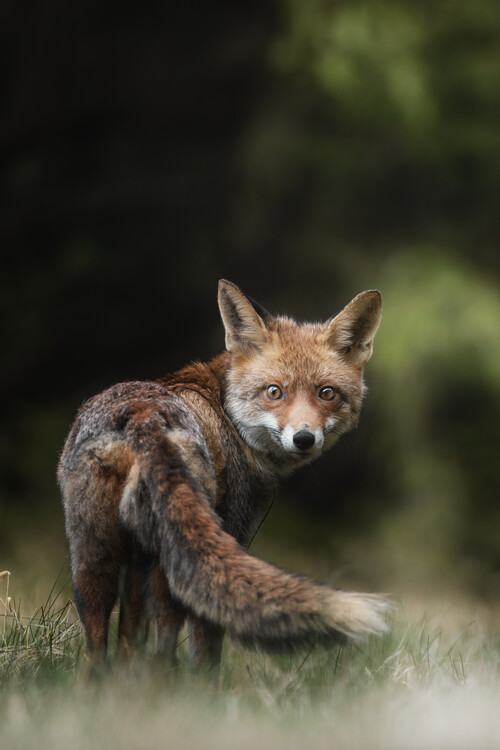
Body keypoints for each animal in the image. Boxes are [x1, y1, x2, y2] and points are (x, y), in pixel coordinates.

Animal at [57, 279, 387, 673]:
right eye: (274, 392)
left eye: (327, 394)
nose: (304, 438)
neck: (225, 408)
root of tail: (142, 415)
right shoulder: (232, 529)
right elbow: (206, 648)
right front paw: (205, 685)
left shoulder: (137, 559)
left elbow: (128, 641)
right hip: (172, 567)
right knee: (165, 645)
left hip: (92, 557)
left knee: (96, 648)